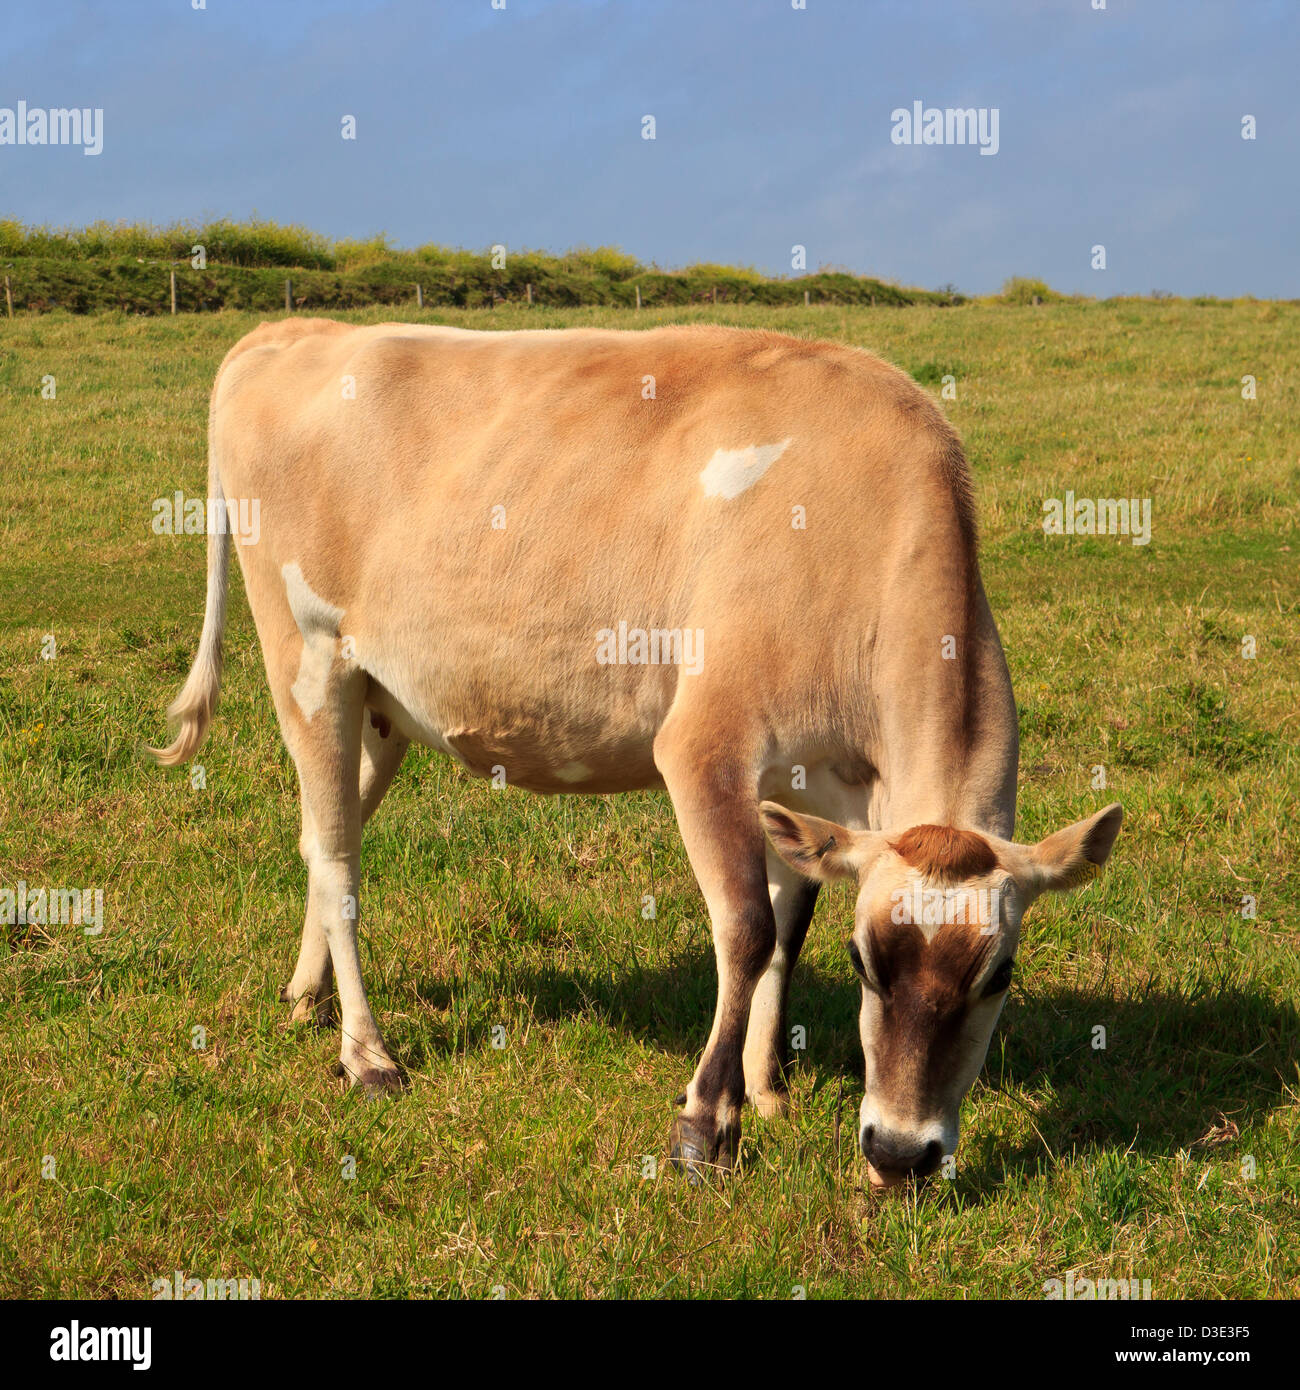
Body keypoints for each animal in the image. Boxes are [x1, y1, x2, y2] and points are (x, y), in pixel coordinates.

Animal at [152, 318, 1122, 1187]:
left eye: (1000, 974)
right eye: (865, 964)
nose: (900, 1152)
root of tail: (292, 332)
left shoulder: (812, 790)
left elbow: (787, 930)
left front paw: (766, 1090)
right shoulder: (705, 742)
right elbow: (746, 926)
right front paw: (706, 1125)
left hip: (379, 701)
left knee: (322, 834)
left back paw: (305, 996)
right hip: (308, 660)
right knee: (341, 857)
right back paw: (368, 1055)